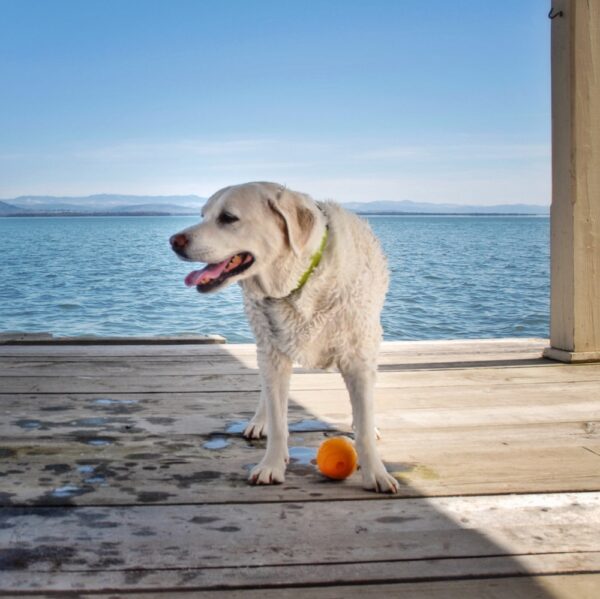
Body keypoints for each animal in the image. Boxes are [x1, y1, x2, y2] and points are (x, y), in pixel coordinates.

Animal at [171, 182, 398, 492]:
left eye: (228, 218)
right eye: (203, 215)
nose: (174, 241)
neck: (300, 281)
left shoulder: (358, 356)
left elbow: (362, 422)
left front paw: (376, 472)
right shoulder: (273, 354)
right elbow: (278, 421)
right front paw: (272, 465)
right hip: (264, 344)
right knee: (266, 392)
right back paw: (259, 421)